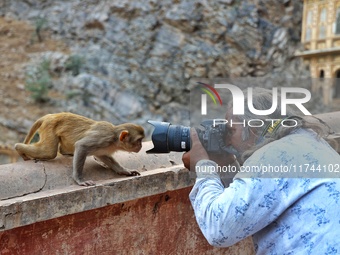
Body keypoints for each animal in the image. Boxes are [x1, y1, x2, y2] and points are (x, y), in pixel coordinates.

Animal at [14, 112, 145, 186]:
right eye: (139, 140)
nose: (141, 146)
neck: (114, 138)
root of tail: (50, 115)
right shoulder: (103, 138)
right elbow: (81, 146)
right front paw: (79, 180)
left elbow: (103, 156)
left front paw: (125, 171)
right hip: (49, 126)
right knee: (49, 152)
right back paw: (18, 148)